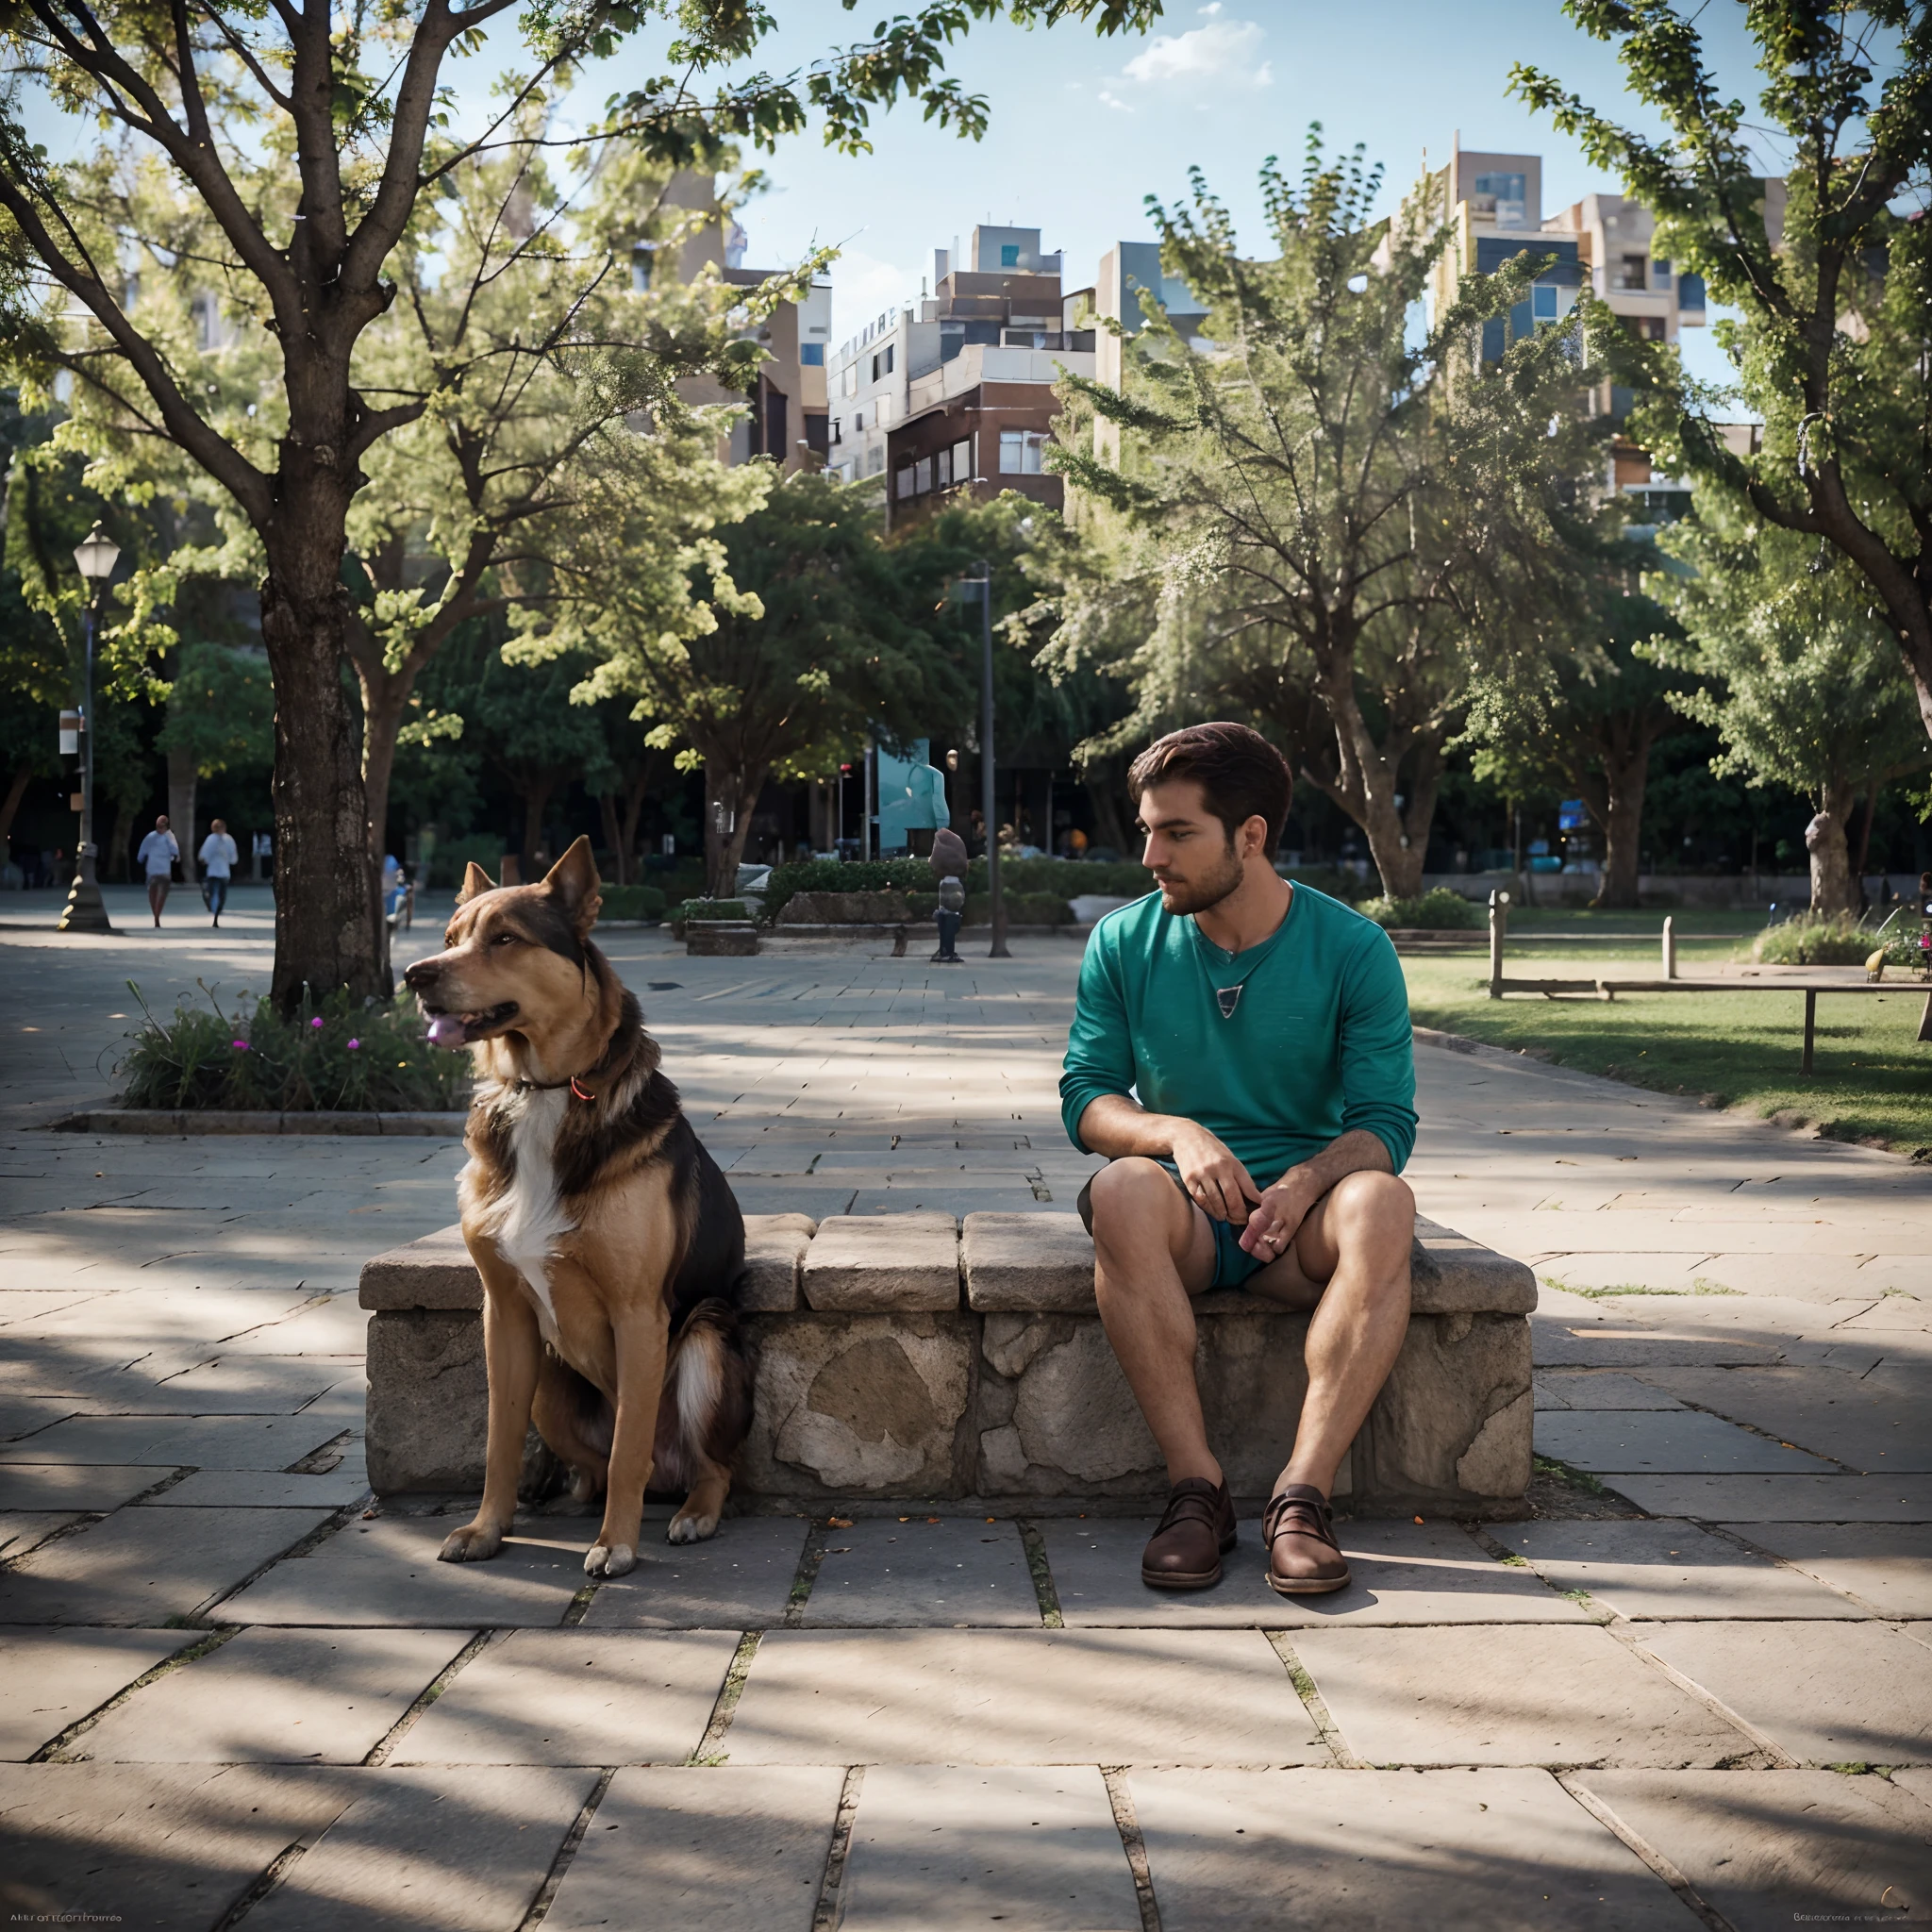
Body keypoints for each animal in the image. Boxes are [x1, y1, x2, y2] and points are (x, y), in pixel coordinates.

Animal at [404, 838, 749, 1576]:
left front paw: (617, 1543)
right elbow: (499, 1444)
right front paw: (487, 1528)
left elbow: (628, 1449)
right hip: (548, 1381)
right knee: (590, 1465)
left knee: (707, 1466)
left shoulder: (640, 1314)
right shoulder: (503, 1315)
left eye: (505, 938)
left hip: (704, 1340)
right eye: (449, 939)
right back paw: (570, 1499)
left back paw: (691, 1513)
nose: (416, 974)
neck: (545, 1090)